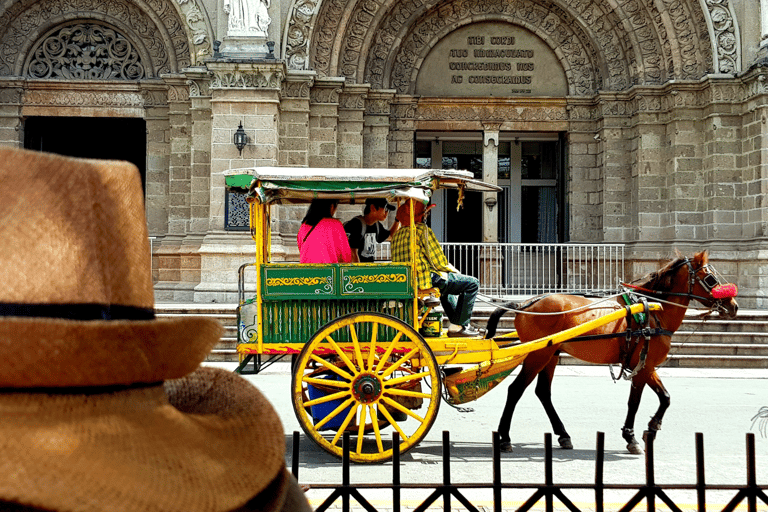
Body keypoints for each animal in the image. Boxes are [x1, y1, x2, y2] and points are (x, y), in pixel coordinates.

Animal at [486, 250, 736, 454]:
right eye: (711, 279)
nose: (733, 306)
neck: (654, 310)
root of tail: (524, 304)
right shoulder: (642, 367)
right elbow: (634, 402)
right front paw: (631, 437)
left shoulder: (647, 365)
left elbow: (665, 397)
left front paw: (652, 427)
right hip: (538, 355)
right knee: (515, 390)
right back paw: (505, 437)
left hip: (550, 354)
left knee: (543, 392)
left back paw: (563, 435)